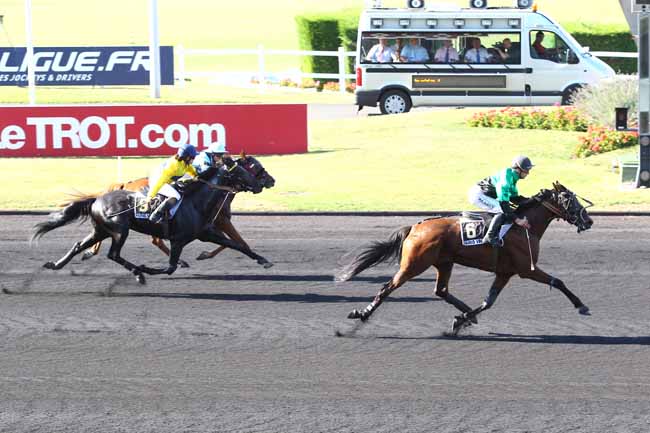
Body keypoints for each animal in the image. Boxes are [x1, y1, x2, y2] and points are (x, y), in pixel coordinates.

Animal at [32, 162, 270, 284]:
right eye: (242, 169)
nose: (263, 183)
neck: (196, 202)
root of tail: (98, 198)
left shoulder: (206, 232)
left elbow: (236, 244)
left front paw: (263, 260)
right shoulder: (178, 240)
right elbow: (170, 267)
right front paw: (146, 268)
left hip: (101, 230)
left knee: (78, 246)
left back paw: (56, 264)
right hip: (119, 230)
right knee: (113, 254)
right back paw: (138, 272)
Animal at [79, 152, 274, 266]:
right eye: (253, 165)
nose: (272, 180)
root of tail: (124, 184)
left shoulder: (210, 224)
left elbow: (231, 242)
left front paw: (205, 254)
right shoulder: (221, 220)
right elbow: (239, 241)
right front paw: (205, 254)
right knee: (154, 240)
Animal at [334, 181, 592, 334]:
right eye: (570, 199)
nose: (588, 221)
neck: (524, 227)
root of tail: (415, 226)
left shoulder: (504, 272)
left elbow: (488, 302)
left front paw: (461, 320)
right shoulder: (526, 269)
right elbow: (558, 281)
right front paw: (581, 305)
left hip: (444, 263)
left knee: (441, 291)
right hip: (413, 265)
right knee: (387, 288)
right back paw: (362, 315)